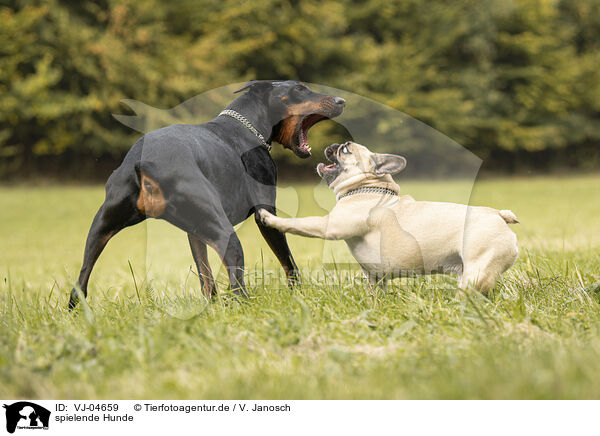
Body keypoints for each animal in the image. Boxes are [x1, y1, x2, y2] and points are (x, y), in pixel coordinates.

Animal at [68, 80, 344, 308]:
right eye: (299, 89)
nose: (341, 101)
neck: (247, 124)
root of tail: (144, 162)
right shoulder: (266, 213)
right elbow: (289, 263)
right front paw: (301, 296)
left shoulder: (195, 231)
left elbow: (206, 277)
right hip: (225, 234)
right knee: (237, 285)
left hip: (100, 227)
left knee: (80, 282)